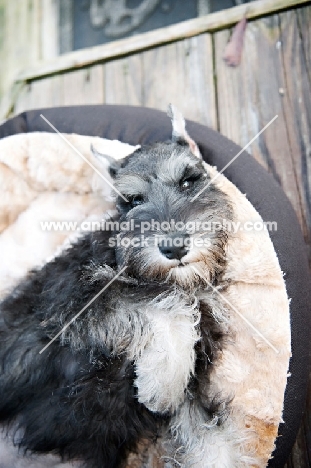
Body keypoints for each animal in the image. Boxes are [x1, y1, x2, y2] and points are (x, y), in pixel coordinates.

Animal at [0, 107, 232, 468]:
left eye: (187, 180)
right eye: (133, 200)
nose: (174, 247)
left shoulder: (193, 391)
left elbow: (210, 440)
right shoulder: (71, 302)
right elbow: (164, 305)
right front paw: (162, 382)